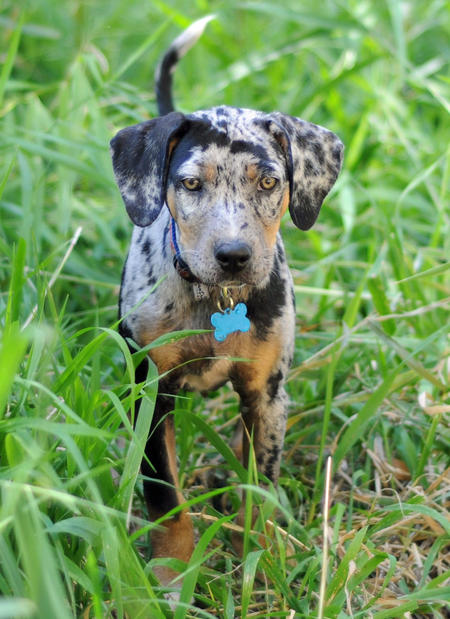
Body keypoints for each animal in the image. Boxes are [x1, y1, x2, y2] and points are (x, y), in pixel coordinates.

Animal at [110, 15, 342, 592]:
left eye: (270, 181)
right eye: (190, 183)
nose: (234, 255)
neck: (217, 299)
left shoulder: (266, 395)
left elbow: (257, 489)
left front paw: (259, 560)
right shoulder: (153, 391)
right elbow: (164, 493)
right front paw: (171, 575)